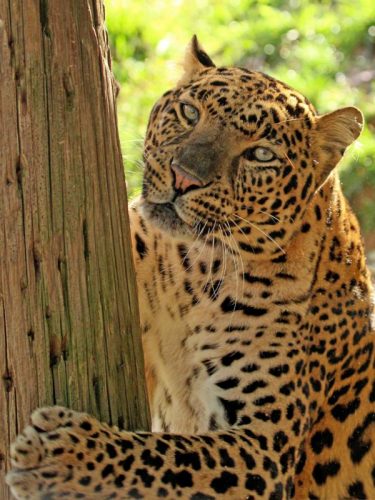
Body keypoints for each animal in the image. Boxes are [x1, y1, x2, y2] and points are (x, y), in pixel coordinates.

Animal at [5, 36, 375, 500]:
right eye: (190, 113)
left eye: (261, 154)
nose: (184, 178)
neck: (192, 273)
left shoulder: (266, 448)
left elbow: (167, 458)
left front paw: (63, 455)